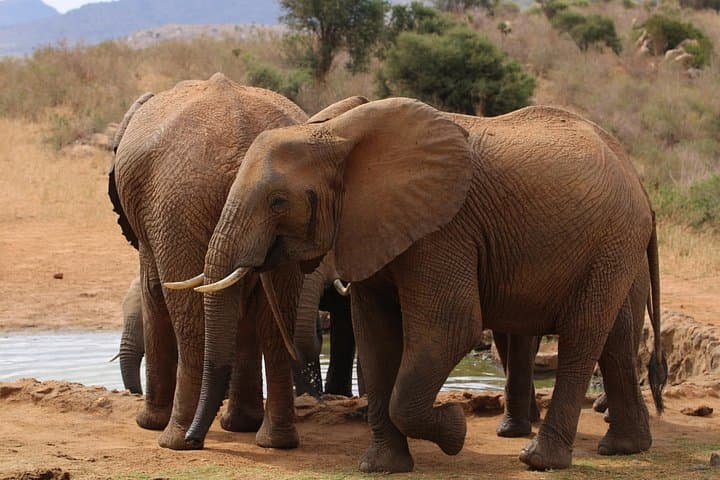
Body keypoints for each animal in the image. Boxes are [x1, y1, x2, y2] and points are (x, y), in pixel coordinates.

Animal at [109, 73, 309, 450]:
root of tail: (243, 137)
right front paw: (240, 426)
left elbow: (153, 290)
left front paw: (147, 423)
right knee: (274, 315)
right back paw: (274, 440)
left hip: (177, 203)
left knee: (187, 313)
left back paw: (175, 439)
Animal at [176, 96, 667, 471]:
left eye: (278, 201)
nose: (190, 443)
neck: (338, 135)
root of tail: (639, 184)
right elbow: (375, 335)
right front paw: (382, 467)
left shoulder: (444, 230)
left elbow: (451, 328)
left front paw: (453, 428)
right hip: (614, 248)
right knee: (616, 339)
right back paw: (624, 448)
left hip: (610, 240)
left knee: (584, 334)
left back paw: (539, 459)